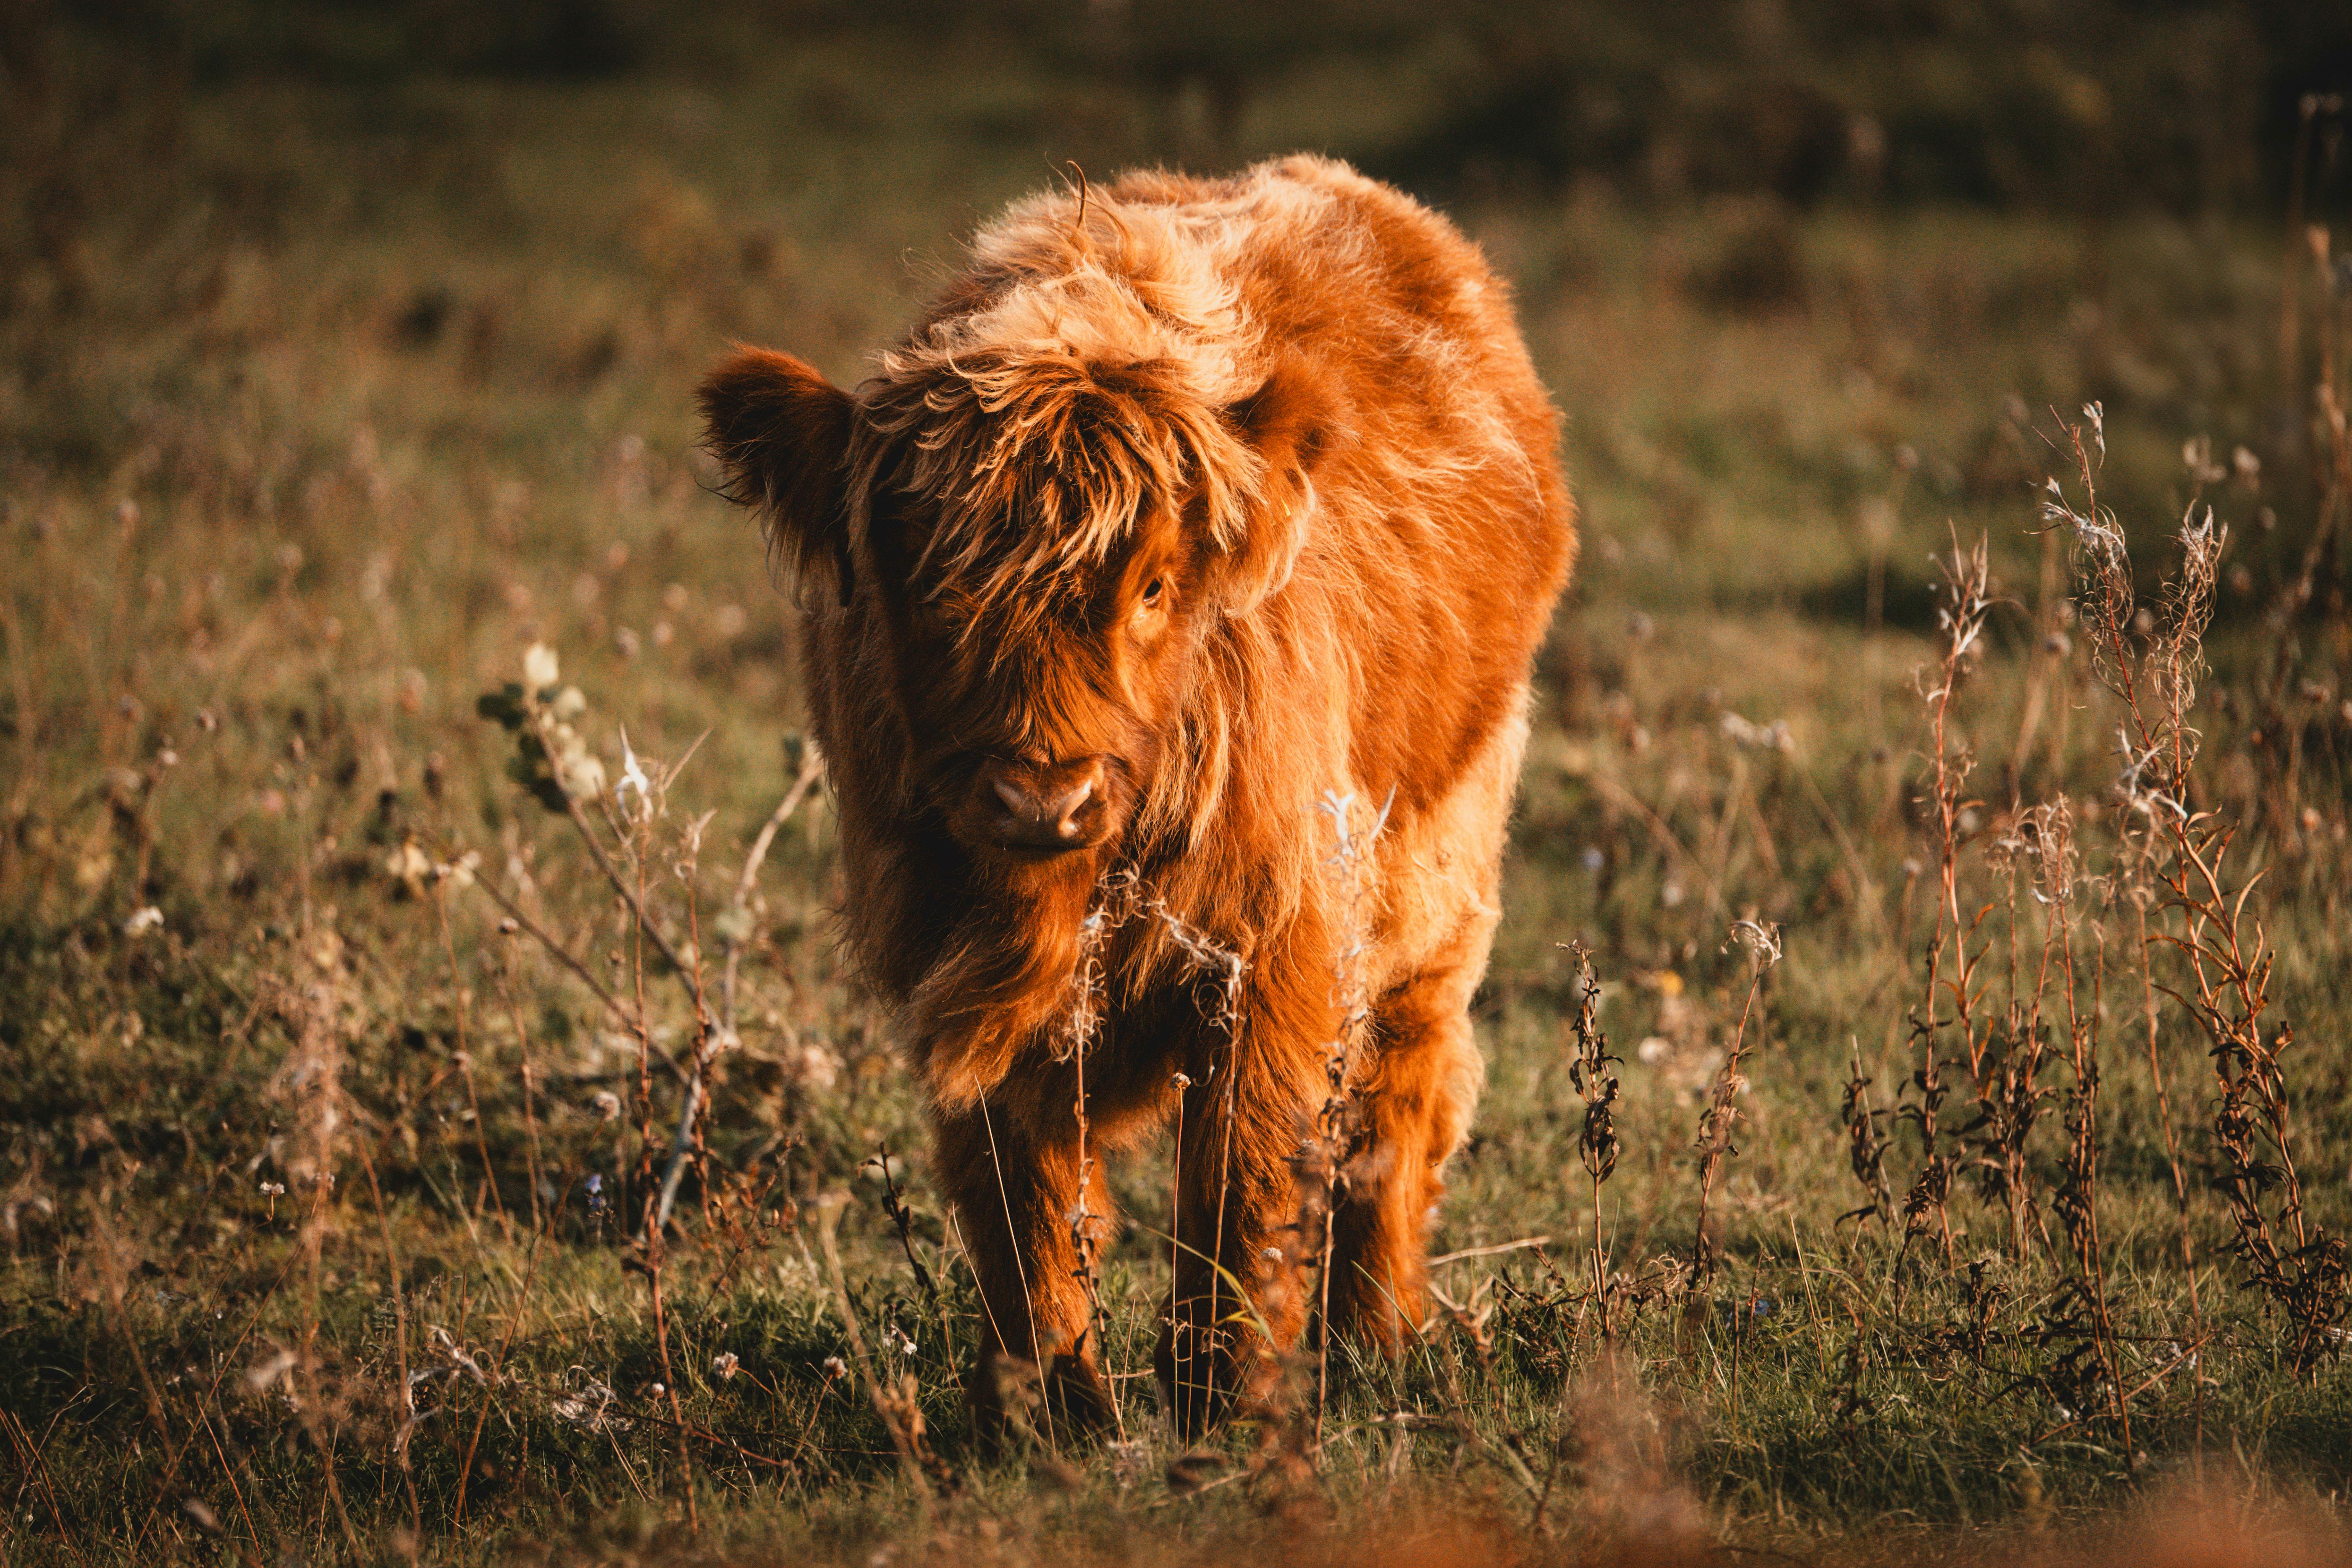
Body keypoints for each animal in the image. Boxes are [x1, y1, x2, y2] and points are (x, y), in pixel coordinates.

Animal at [699, 154, 1575, 1436]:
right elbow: (1025, 1208)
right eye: (925, 589)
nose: (1040, 796)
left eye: (1156, 585)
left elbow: (1240, 1191)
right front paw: (1051, 1411)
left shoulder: (1273, 952)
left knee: (1398, 1097)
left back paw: (1379, 1334)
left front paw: (1226, 1412)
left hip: (1440, 872)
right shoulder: (950, 970)